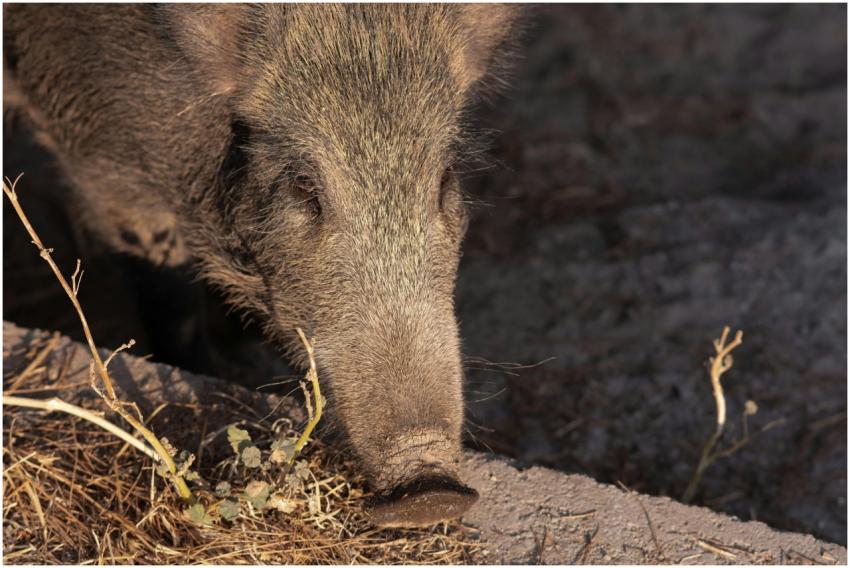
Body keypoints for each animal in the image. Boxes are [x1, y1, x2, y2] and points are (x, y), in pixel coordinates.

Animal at [3, 3, 519, 526]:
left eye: (444, 180)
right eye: (303, 186)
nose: (433, 493)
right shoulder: (109, 170)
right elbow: (167, 291)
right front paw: (216, 371)